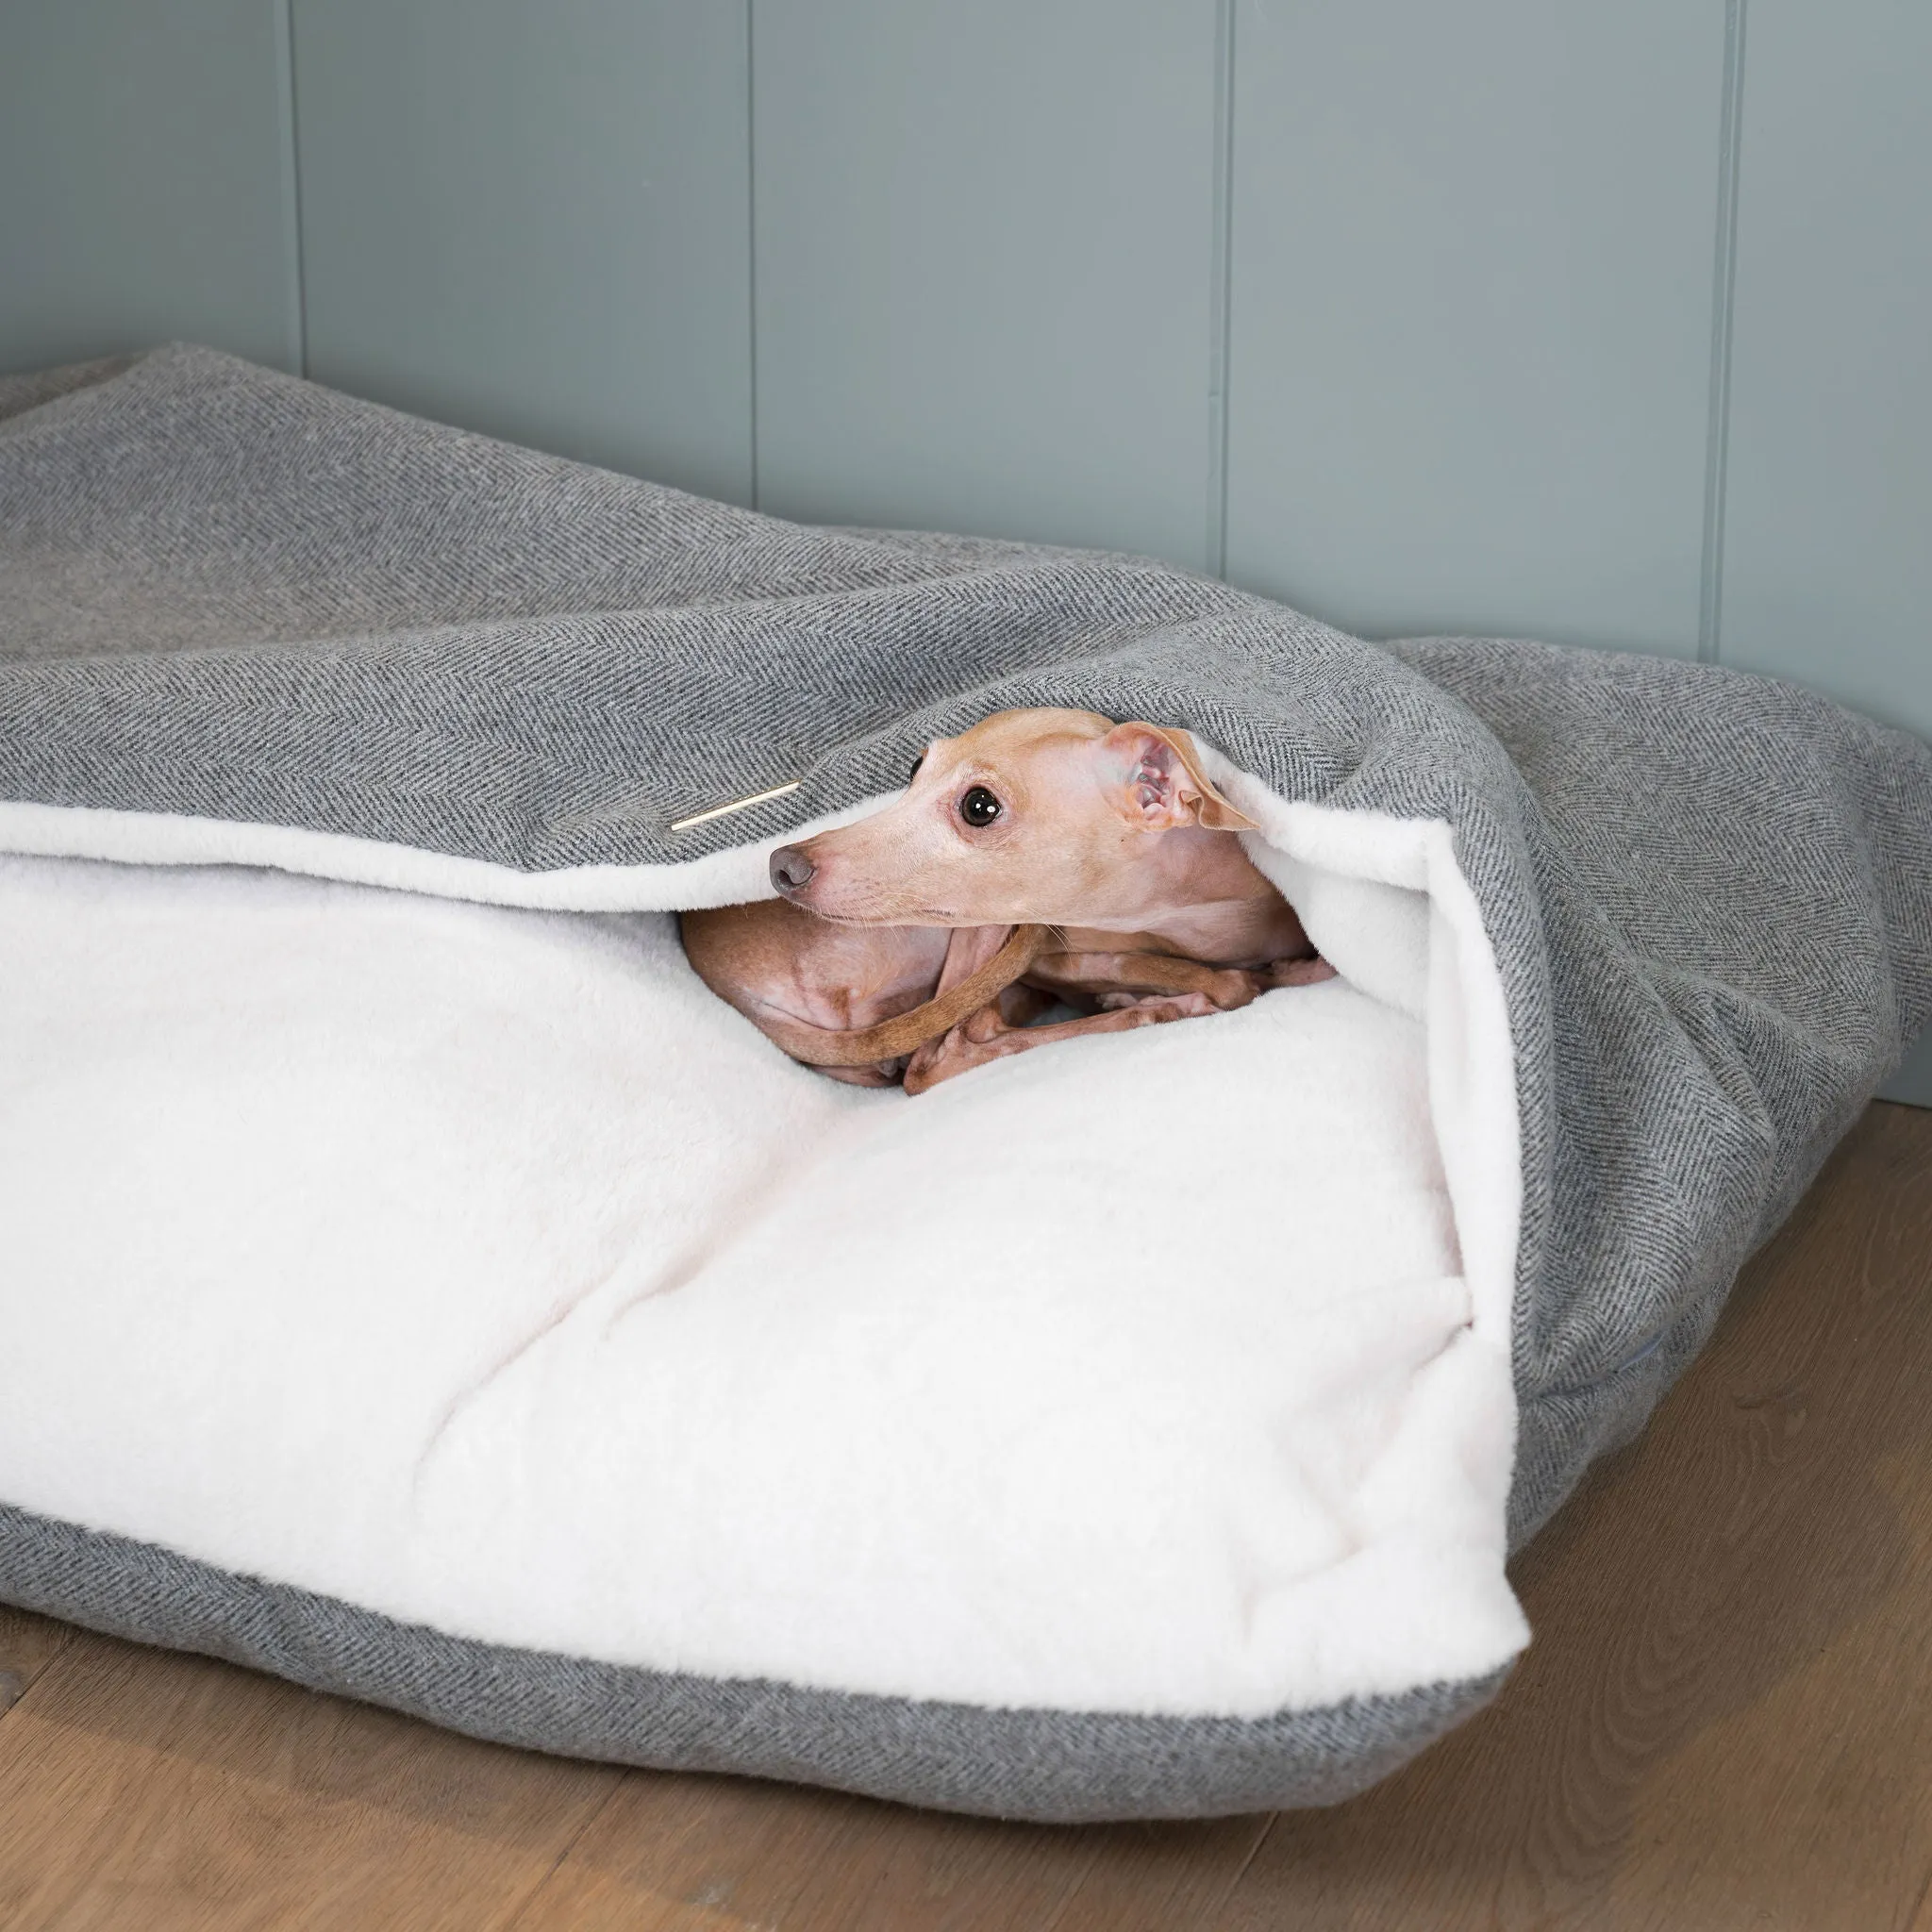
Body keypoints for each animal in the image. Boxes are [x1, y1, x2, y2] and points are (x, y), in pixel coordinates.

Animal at [688, 707, 1337, 1097]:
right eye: (915, 767)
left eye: (979, 806)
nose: (783, 866)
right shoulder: (1047, 944)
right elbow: (1211, 977)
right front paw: (1163, 993)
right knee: (939, 1059)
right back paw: (1157, 1008)